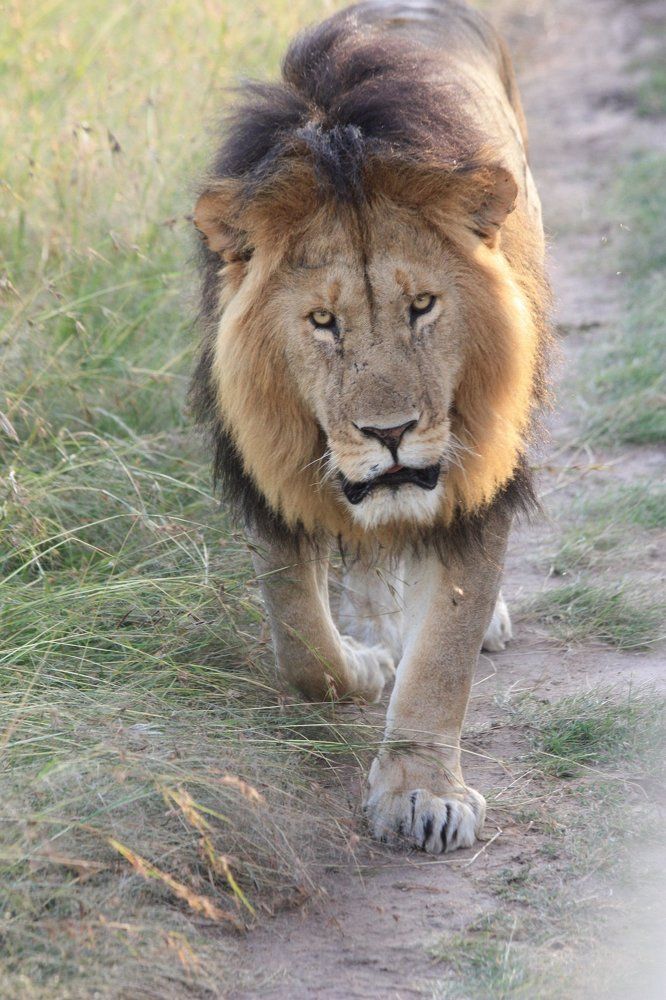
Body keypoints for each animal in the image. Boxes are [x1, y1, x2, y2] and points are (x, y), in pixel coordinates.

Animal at [191, 0, 550, 854]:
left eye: (422, 306)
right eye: (323, 323)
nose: (390, 434)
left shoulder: (478, 477)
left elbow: (445, 652)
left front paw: (422, 792)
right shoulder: (267, 469)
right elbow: (297, 632)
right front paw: (356, 669)